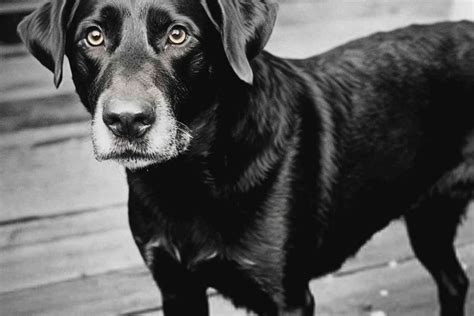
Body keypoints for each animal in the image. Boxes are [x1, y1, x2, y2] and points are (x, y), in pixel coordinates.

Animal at [16, 0, 472, 314]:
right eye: (93, 37)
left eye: (178, 35)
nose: (127, 120)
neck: (189, 180)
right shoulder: (176, 286)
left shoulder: (287, 296)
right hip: (429, 219)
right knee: (454, 281)